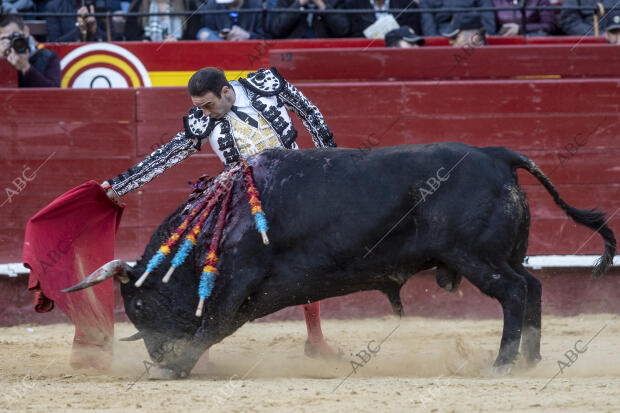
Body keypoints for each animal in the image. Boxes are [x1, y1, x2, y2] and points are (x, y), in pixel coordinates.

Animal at [66, 143, 616, 378]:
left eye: (137, 308)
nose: (158, 355)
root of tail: (497, 155)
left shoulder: (238, 280)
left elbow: (212, 324)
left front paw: (177, 368)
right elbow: (216, 325)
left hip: (476, 257)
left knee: (515, 293)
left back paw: (502, 363)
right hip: (505, 254)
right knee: (534, 286)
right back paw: (530, 359)